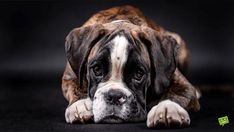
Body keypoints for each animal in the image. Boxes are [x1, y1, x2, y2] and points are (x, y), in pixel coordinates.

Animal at [61, 5, 200, 128]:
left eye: (138, 73)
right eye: (97, 69)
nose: (114, 96)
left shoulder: (184, 85)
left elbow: (176, 95)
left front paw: (167, 108)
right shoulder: (69, 77)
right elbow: (76, 87)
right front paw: (80, 105)